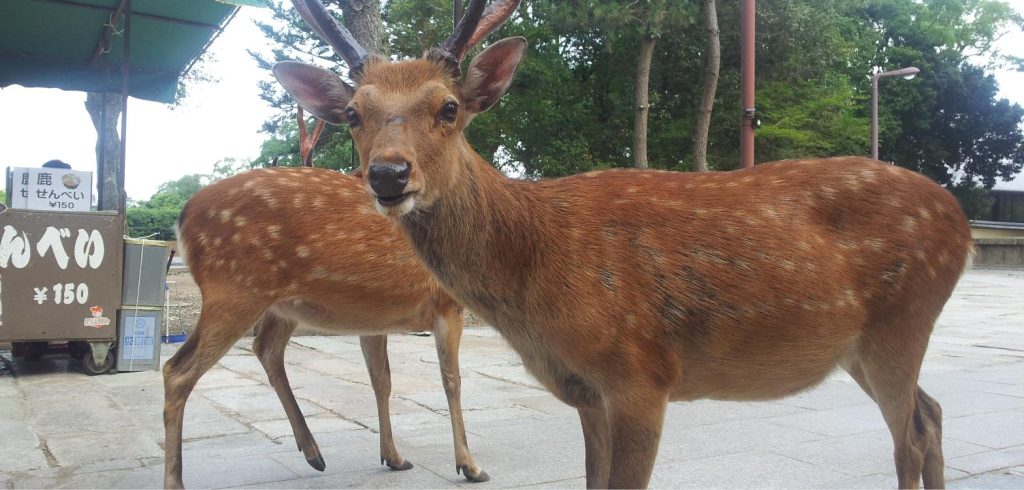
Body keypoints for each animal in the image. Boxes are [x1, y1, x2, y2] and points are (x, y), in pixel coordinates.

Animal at [162, 166, 491, 488]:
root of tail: (182, 219)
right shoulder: (448, 304)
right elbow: (452, 381)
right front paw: (470, 466)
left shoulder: (374, 318)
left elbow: (381, 381)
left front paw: (393, 457)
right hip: (235, 289)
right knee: (177, 371)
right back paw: (175, 481)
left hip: (276, 304)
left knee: (265, 348)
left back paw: (313, 452)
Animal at [272, 0, 974, 487]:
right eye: (354, 114)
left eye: (448, 108)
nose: (389, 175)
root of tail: (959, 219)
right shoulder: (586, 392)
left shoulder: (642, 376)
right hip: (861, 345)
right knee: (933, 414)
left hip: (901, 322)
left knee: (910, 435)